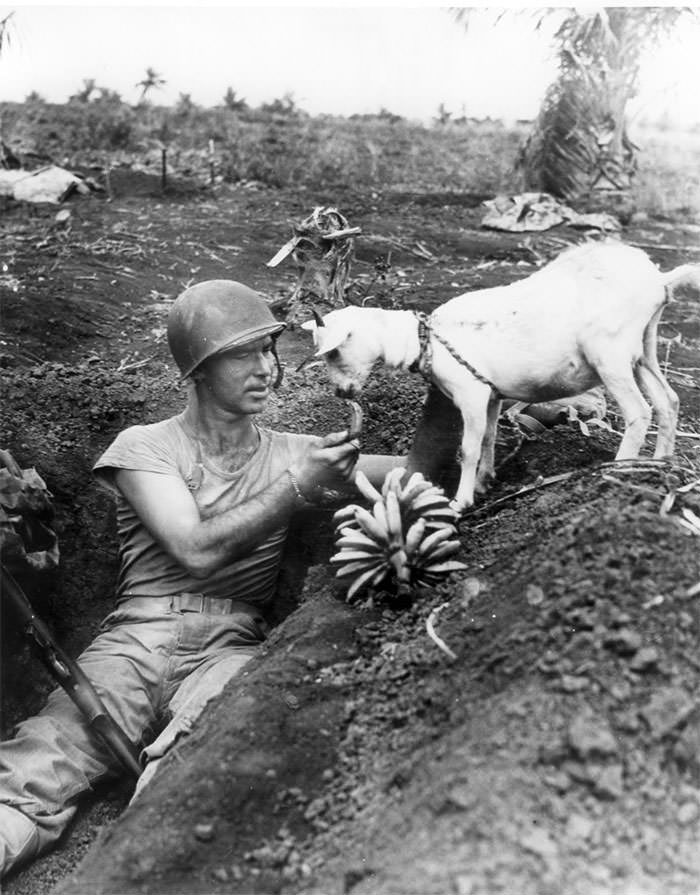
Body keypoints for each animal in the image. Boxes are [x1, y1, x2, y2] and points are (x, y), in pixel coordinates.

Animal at [300, 243, 700, 512]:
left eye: (333, 351)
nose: (341, 392)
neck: (424, 339)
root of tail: (659, 279)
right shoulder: (491, 396)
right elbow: (489, 438)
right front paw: (484, 482)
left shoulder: (471, 393)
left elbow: (468, 448)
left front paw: (461, 500)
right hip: (643, 349)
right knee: (668, 401)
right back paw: (659, 465)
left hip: (610, 353)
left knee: (639, 411)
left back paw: (619, 469)